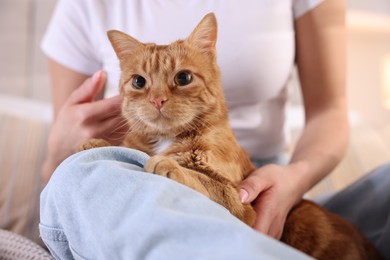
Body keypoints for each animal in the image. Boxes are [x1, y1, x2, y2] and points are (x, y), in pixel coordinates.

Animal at [78, 13, 380, 258]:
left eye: (183, 78)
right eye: (139, 82)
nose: (157, 100)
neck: (167, 139)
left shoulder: (239, 200)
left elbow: (202, 179)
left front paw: (167, 164)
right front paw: (94, 141)